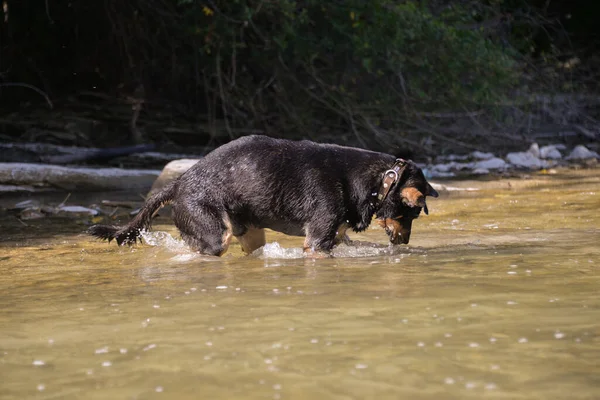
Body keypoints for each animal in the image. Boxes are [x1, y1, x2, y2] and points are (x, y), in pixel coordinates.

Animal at [88, 135, 436, 256]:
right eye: (410, 214)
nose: (405, 242)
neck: (381, 180)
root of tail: (178, 183)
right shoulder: (318, 242)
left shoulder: (336, 237)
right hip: (215, 234)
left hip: (251, 234)